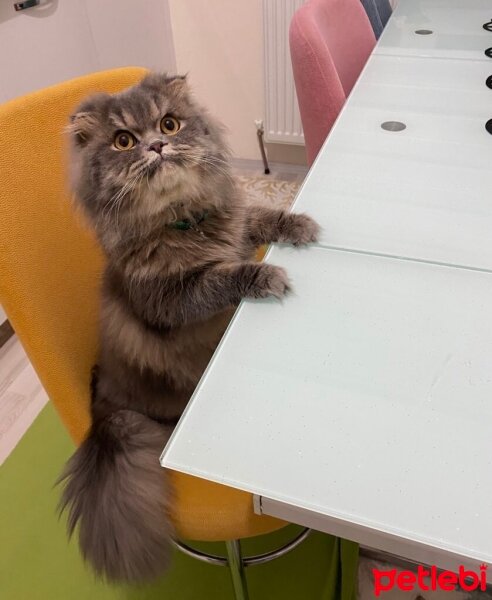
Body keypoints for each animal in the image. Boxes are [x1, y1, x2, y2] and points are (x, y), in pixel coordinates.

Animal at [59, 72, 320, 584]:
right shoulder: (174, 299)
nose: (158, 146)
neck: (182, 221)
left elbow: (262, 217)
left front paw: (299, 224)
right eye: (124, 141)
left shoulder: (237, 223)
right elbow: (225, 277)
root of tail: (102, 410)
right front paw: (266, 276)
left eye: (169, 124)